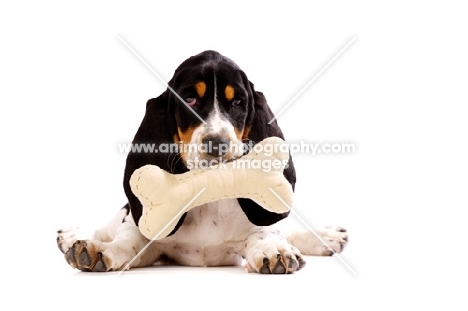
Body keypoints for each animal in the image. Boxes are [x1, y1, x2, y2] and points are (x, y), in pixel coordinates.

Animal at [56, 50, 348, 274]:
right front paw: (99, 251)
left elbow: (268, 232)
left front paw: (275, 250)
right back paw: (71, 235)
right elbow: (127, 240)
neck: (210, 195)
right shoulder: (145, 237)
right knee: (108, 226)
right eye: (190, 99)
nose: (216, 143)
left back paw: (328, 236)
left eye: (238, 102)